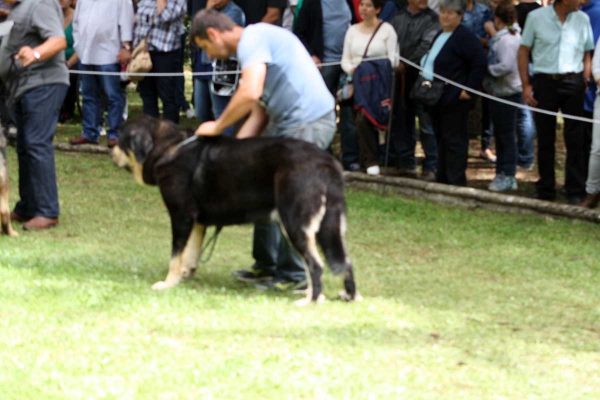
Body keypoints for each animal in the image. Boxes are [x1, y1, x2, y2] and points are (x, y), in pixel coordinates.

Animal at [110, 115, 358, 306]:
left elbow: (176, 254)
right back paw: (347, 296)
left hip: (295, 223)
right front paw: (184, 275)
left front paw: (168, 282)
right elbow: (191, 252)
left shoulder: (181, 215)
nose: (110, 148)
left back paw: (311, 300)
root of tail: (327, 162)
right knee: (343, 260)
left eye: (121, 140)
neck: (168, 147)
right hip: (330, 226)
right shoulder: (198, 221)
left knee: (315, 265)